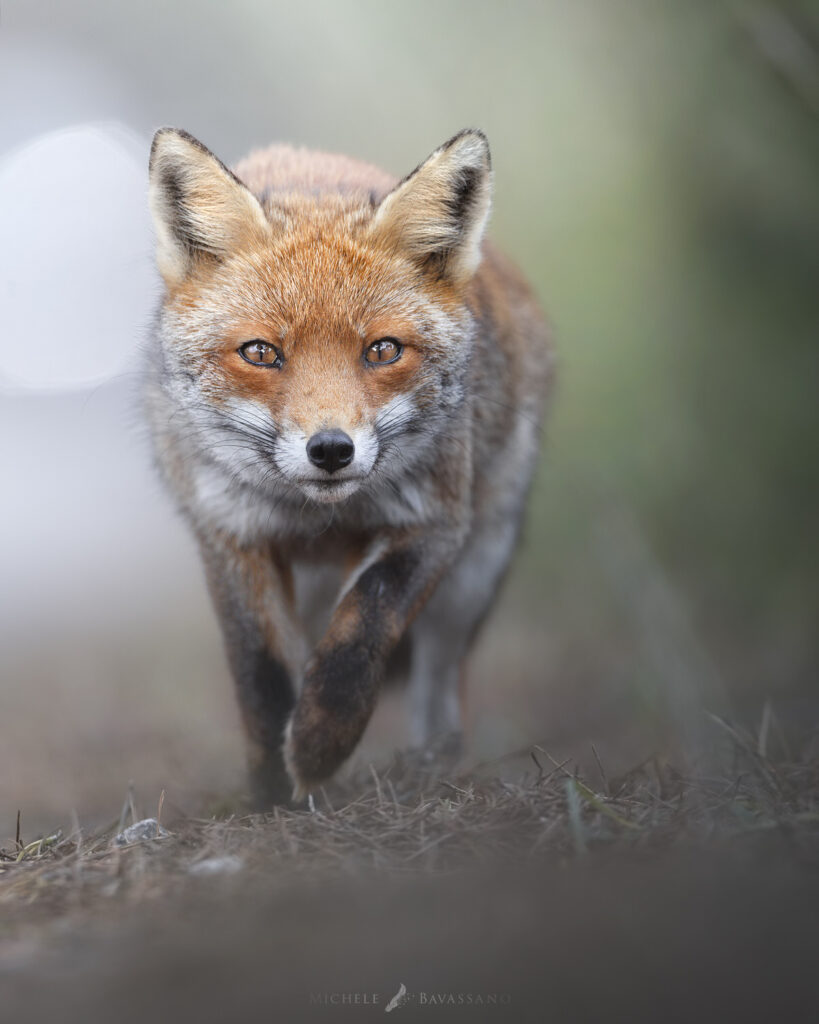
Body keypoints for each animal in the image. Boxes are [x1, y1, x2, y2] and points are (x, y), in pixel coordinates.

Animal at [145, 127, 552, 805]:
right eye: (261, 353)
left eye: (382, 350)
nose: (331, 449)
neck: (320, 521)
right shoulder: (230, 532)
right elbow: (261, 676)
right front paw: (271, 794)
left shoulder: (435, 523)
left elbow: (361, 634)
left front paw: (318, 747)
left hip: (473, 577)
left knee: (439, 682)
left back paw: (431, 769)